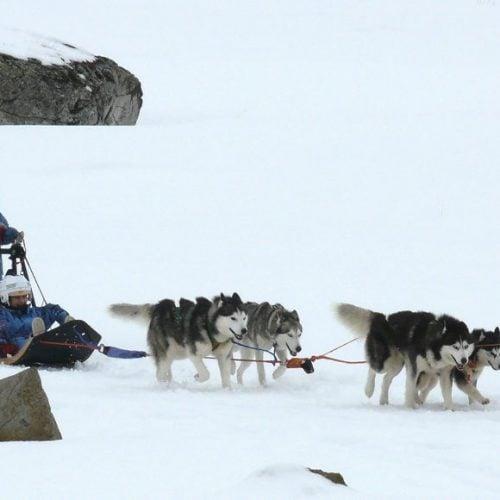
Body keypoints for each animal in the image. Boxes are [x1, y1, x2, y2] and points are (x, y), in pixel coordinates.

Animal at [111, 292, 248, 390]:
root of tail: (158, 307)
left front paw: (227, 390)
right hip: (166, 353)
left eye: (244, 317)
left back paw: (170, 382)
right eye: (233, 318)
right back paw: (165, 386)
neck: (209, 325)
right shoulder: (194, 354)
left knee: (165, 371)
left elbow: (225, 377)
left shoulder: (224, 356)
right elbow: (205, 374)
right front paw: (197, 377)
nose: (244, 330)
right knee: (159, 374)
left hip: (176, 353)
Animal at [336, 302, 472, 408]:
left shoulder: (444, 373)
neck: (432, 346)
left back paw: (384, 401)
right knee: (373, 368)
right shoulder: (414, 368)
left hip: (397, 364)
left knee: (386, 379)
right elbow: (410, 388)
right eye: (455, 346)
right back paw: (369, 389)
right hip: (384, 361)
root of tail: (382, 318)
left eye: (465, 346)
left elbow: (447, 393)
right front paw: (409, 407)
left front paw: (450, 410)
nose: (464, 360)